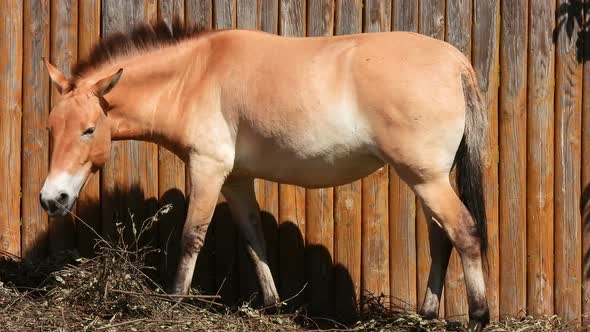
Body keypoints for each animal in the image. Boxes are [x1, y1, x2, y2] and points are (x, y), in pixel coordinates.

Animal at [40, 21, 490, 330]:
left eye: (88, 130)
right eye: (51, 128)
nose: (51, 199)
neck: (194, 75)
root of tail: (456, 62)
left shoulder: (208, 167)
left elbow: (191, 236)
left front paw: (174, 301)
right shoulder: (236, 179)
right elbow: (254, 239)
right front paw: (273, 305)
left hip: (426, 178)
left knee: (465, 231)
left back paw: (479, 315)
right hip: (425, 179)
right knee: (440, 239)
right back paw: (426, 314)